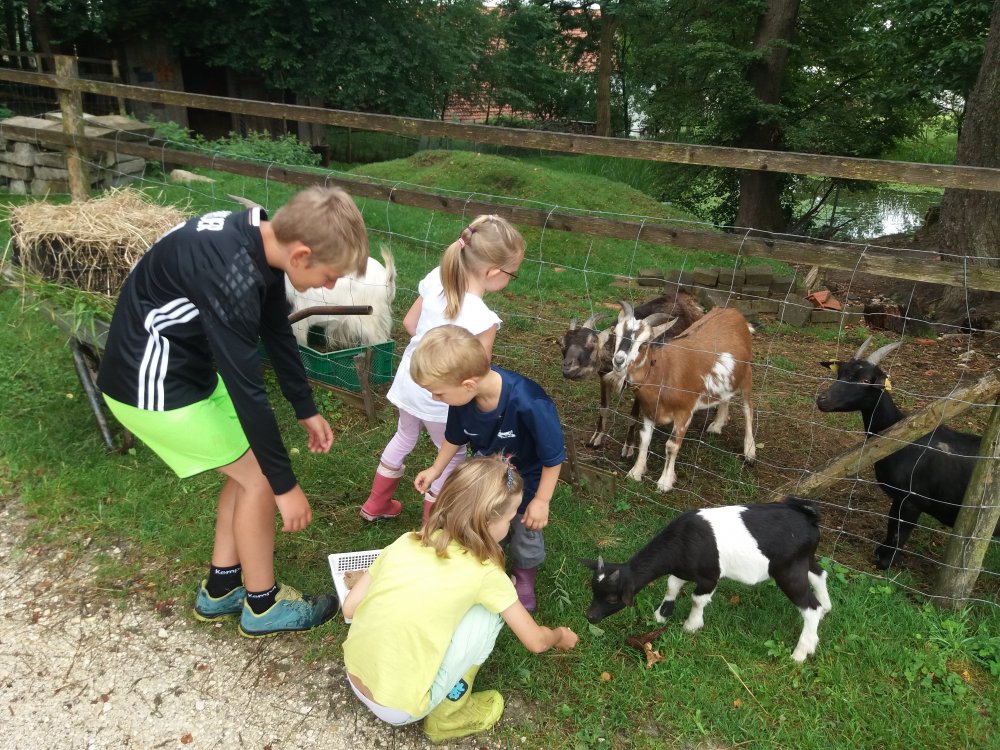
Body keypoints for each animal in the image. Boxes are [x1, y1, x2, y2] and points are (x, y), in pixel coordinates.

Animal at [559, 291, 704, 457]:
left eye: (593, 342)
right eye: (561, 343)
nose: (568, 368)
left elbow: (633, 417)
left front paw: (628, 447)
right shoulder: (603, 378)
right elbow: (604, 408)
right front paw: (596, 438)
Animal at [581, 497, 832, 662]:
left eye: (613, 599)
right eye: (594, 590)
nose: (590, 616)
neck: (683, 541)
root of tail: (808, 517)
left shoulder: (710, 576)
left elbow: (696, 599)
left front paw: (691, 626)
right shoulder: (682, 570)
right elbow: (672, 586)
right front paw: (661, 615)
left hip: (788, 571)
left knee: (810, 607)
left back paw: (800, 653)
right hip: (805, 560)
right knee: (820, 575)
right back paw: (824, 614)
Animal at [611, 304, 755, 492]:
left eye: (645, 343)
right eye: (615, 334)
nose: (619, 361)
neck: (662, 372)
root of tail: (733, 312)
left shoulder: (684, 412)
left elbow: (671, 446)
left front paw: (665, 482)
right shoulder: (649, 410)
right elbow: (644, 439)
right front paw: (636, 472)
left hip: (747, 374)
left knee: (748, 409)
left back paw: (750, 451)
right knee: (726, 397)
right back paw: (717, 424)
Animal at [815, 337, 995, 569]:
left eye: (866, 380)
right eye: (840, 373)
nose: (822, 399)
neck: (900, 437)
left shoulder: (910, 501)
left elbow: (898, 532)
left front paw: (885, 563)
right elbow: (891, 527)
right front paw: (880, 552)